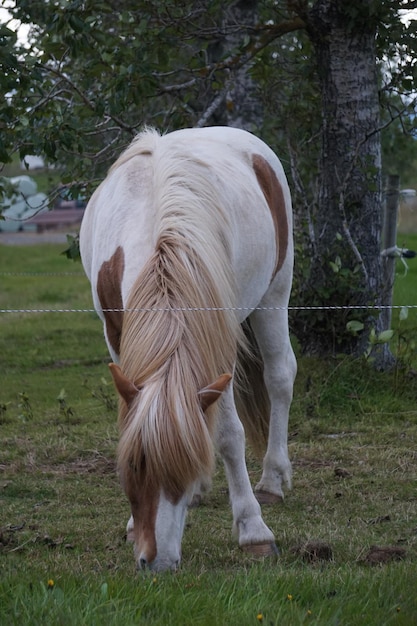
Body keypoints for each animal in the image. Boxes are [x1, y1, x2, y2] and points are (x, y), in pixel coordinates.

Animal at [79, 125, 296, 572]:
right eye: (134, 466)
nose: (154, 561)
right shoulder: (116, 336)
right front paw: (133, 524)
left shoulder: (219, 344)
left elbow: (230, 434)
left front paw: (254, 530)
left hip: (275, 293)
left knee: (280, 376)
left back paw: (271, 480)